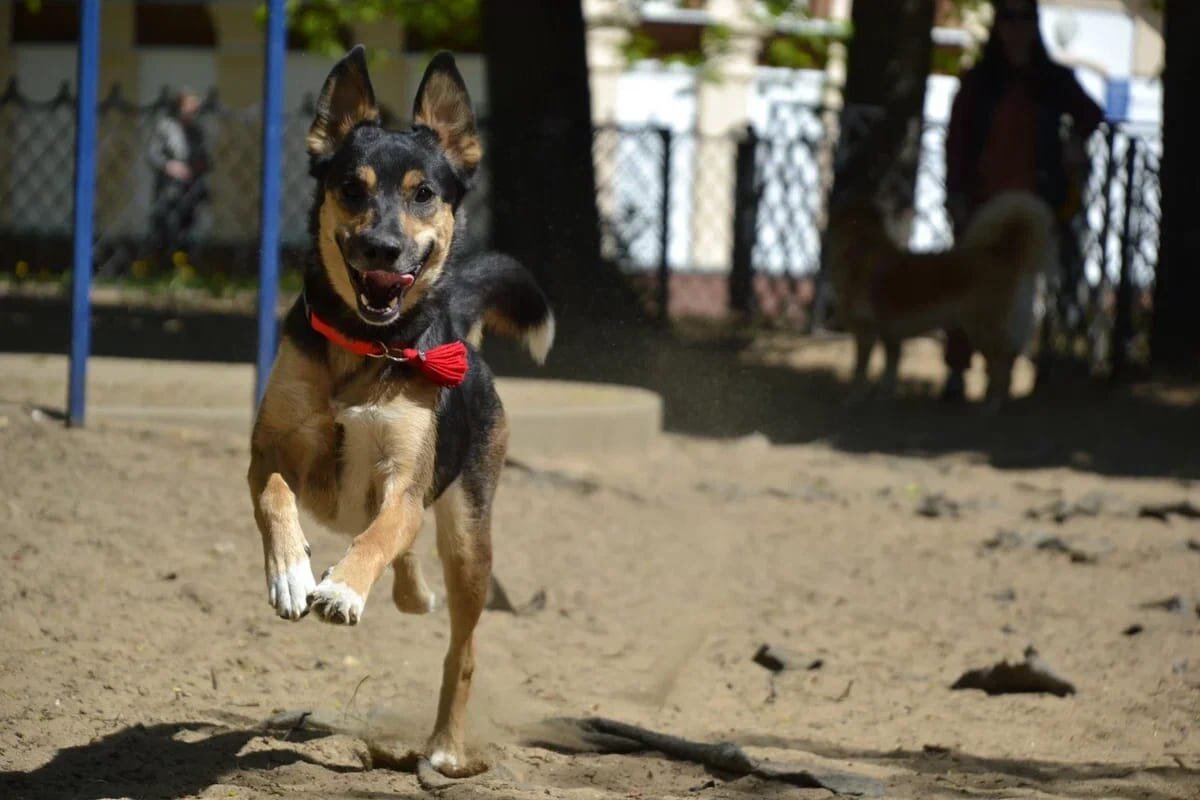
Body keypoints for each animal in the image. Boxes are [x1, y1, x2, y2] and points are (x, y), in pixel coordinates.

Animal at [249, 47, 556, 772]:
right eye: (351, 188)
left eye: (424, 193)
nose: (383, 249)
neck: (369, 345)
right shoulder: (268, 448)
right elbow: (276, 495)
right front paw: (292, 575)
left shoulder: (405, 478)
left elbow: (384, 530)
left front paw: (342, 589)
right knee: (408, 557)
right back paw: (403, 591)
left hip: (470, 537)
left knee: (460, 648)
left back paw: (443, 748)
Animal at [825, 191, 1051, 410]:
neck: (861, 248)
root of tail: (1004, 255)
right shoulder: (892, 337)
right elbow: (890, 373)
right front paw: (883, 400)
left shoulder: (866, 333)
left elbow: (859, 372)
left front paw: (853, 400)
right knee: (1006, 360)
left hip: (981, 327)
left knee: (1002, 362)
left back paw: (991, 406)